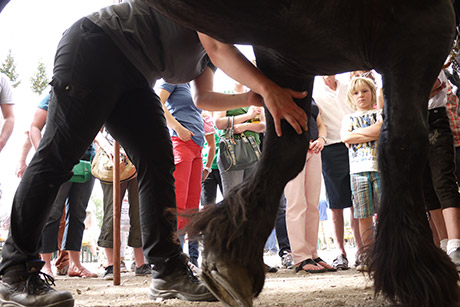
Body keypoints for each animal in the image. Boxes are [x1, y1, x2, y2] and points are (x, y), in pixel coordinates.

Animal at [145, 1, 460, 306]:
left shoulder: (288, 55)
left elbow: (286, 147)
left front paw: (232, 253)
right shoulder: (419, 29)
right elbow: (404, 140)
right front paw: (419, 272)